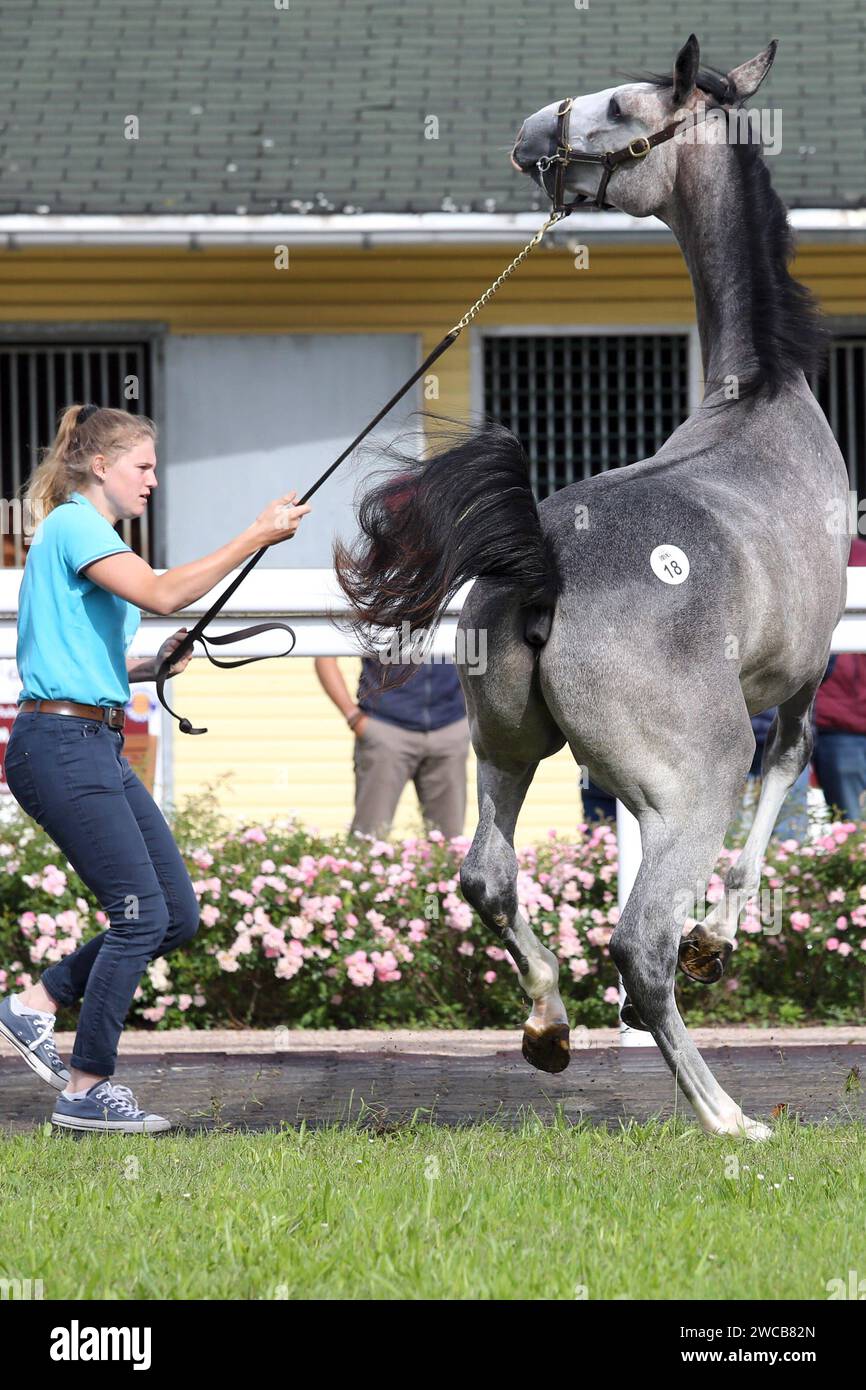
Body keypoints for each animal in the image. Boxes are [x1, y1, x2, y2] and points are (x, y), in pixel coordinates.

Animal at [335, 35, 850, 1139]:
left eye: (622, 104)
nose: (532, 135)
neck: (760, 402)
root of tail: (545, 564)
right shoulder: (798, 685)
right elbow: (774, 804)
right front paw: (721, 938)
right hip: (685, 785)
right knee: (640, 947)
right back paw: (726, 1116)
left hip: (504, 753)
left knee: (487, 880)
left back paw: (549, 1026)